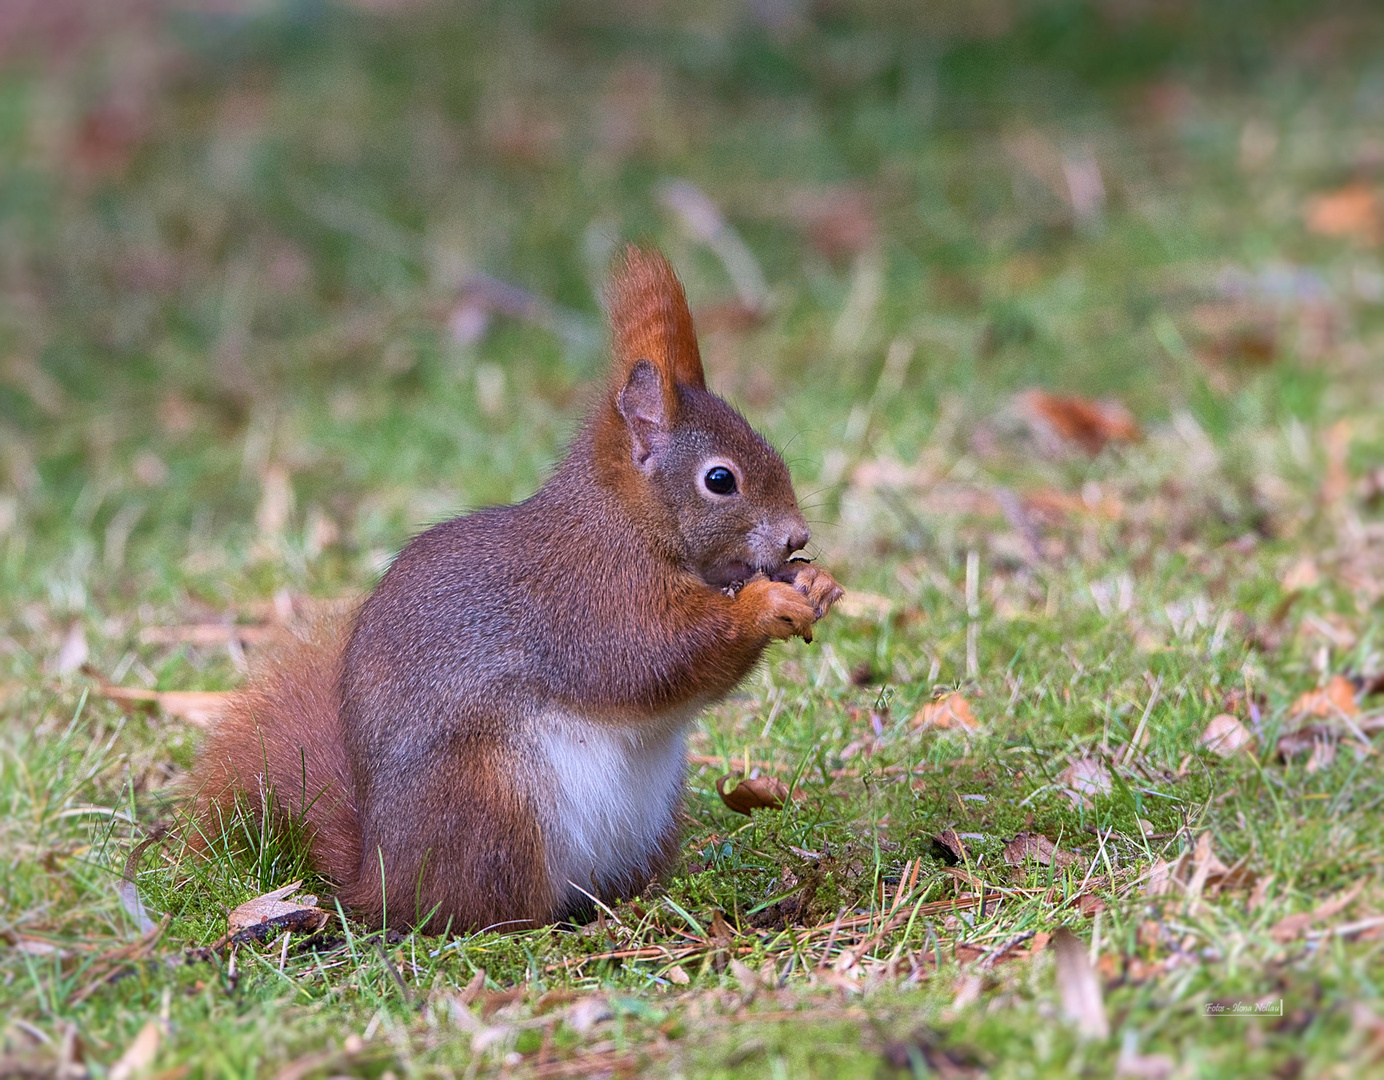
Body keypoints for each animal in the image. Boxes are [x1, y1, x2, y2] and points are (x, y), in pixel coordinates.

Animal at [188, 249, 835, 930]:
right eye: (719, 480)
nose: (797, 536)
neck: (628, 523)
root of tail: (383, 882)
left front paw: (813, 581)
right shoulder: (590, 600)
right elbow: (654, 657)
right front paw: (767, 604)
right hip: (493, 805)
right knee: (492, 912)